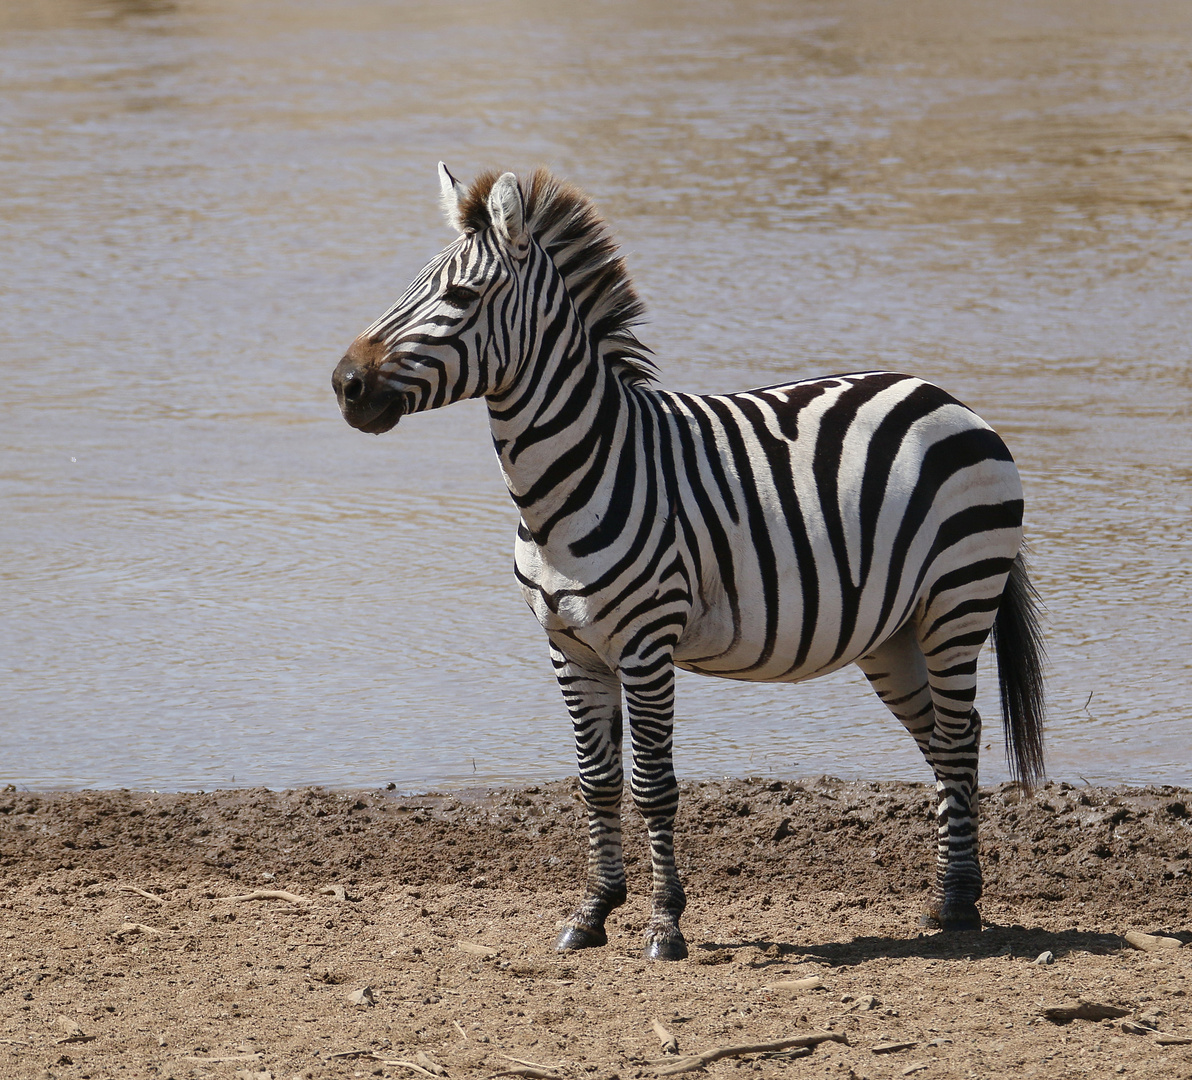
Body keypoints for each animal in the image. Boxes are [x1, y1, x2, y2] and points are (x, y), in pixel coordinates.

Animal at [328, 162, 1044, 958]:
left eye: (458, 297)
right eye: (412, 283)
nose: (345, 384)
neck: (571, 479)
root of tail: (945, 398)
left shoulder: (646, 645)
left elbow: (652, 786)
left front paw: (665, 923)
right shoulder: (569, 647)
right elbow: (596, 780)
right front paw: (594, 911)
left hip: (956, 602)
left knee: (956, 736)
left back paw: (957, 903)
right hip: (891, 633)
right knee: (953, 738)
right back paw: (955, 899)